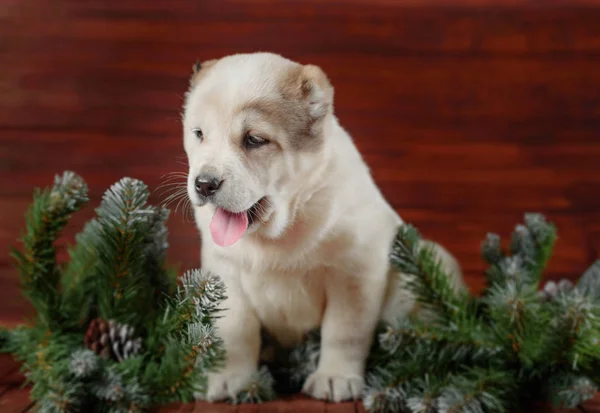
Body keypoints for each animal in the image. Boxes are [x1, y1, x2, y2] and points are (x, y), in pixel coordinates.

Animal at [180, 52, 462, 402]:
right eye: (199, 134)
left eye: (254, 140)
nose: (204, 184)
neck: (278, 233)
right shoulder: (225, 272)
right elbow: (235, 330)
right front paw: (230, 378)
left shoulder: (355, 271)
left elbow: (344, 330)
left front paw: (335, 377)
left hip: (430, 259)